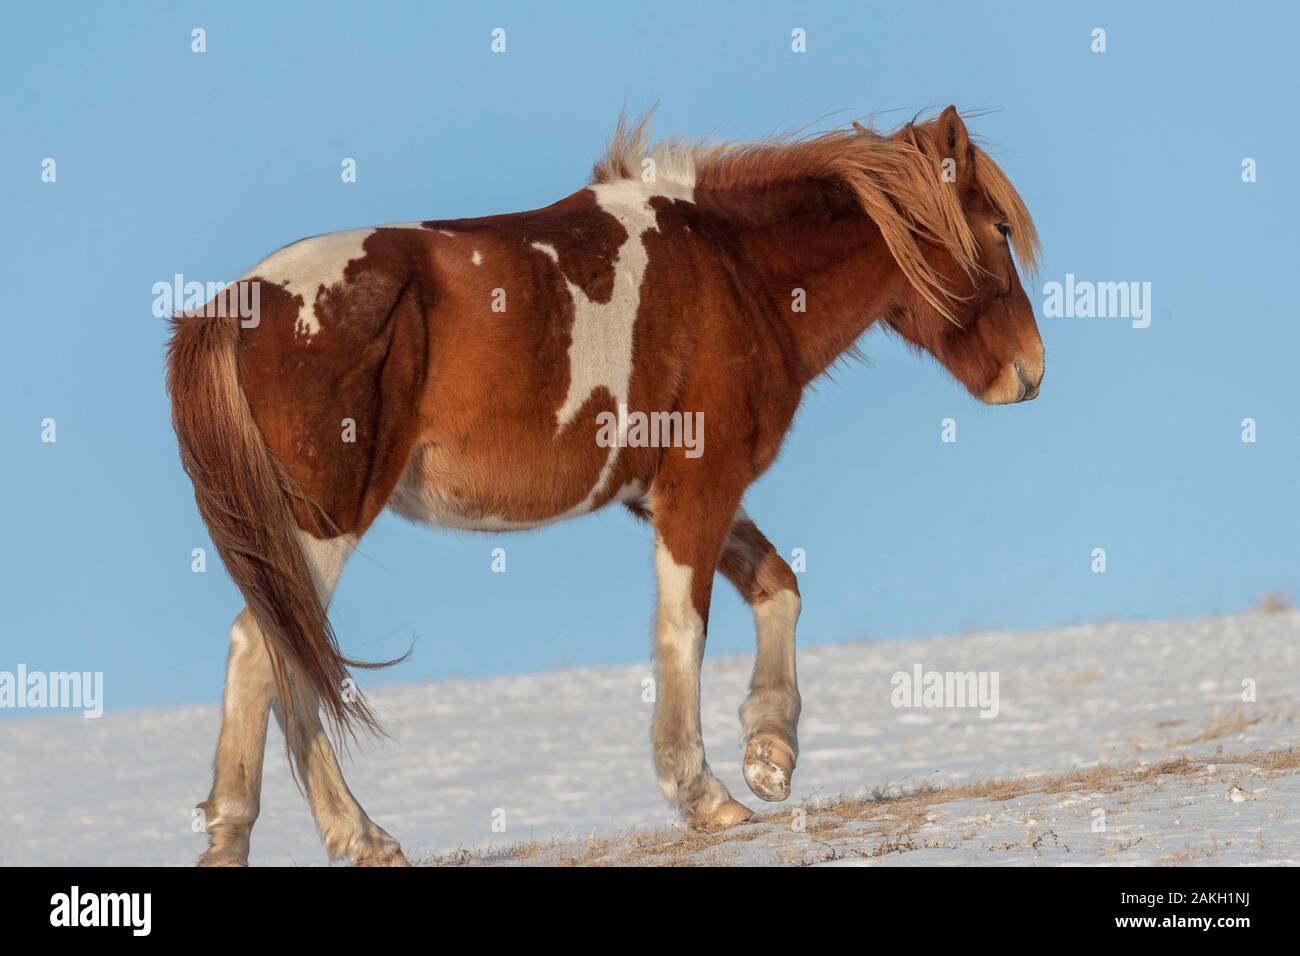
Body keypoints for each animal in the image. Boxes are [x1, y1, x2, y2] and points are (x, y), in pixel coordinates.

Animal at [167, 105, 1043, 866]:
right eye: (998, 229)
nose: (1030, 371)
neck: (734, 271)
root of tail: (233, 308)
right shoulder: (700, 485)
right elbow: (683, 630)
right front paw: (705, 793)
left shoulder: (670, 493)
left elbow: (779, 588)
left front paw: (769, 753)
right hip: (322, 525)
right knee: (266, 654)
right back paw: (356, 836)